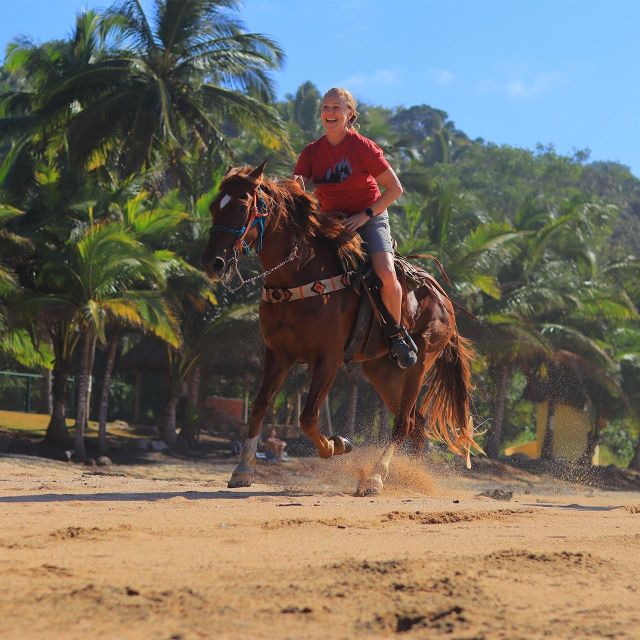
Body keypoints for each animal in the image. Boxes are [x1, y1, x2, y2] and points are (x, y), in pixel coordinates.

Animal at [202, 162, 478, 492]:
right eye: (213, 207)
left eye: (242, 207)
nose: (213, 264)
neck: (299, 274)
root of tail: (444, 299)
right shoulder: (278, 353)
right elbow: (259, 405)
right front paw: (242, 469)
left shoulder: (328, 359)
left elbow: (308, 417)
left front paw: (338, 444)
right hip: (382, 370)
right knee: (417, 422)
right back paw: (411, 479)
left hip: (419, 362)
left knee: (404, 423)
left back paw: (376, 477)